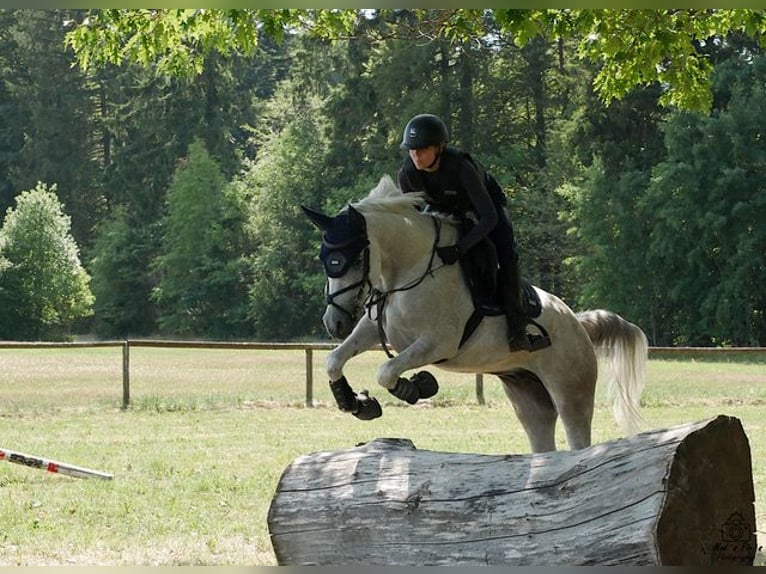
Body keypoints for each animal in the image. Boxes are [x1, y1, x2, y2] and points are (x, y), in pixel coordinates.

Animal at [304, 176, 652, 454]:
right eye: (324, 258)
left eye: (352, 259)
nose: (334, 323)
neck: (411, 270)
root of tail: (578, 324)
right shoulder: (375, 330)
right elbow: (334, 359)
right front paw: (354, 403)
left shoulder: (437, 343)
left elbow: (386, 371)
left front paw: (416, 387)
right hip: (528, 397)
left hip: (570, 391)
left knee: (578, 439)